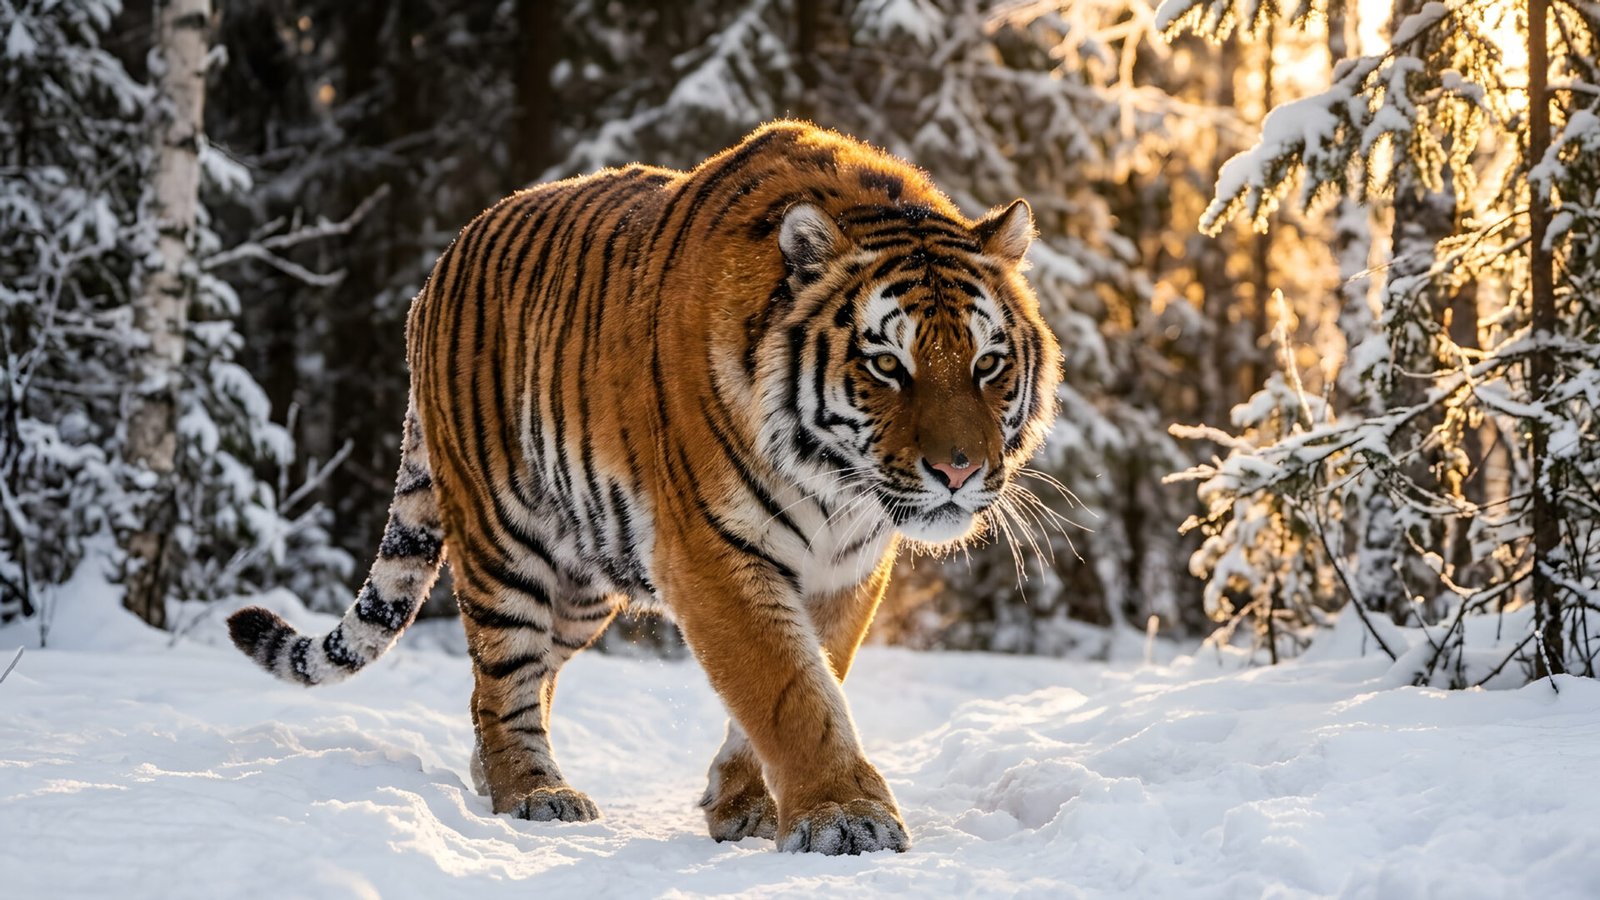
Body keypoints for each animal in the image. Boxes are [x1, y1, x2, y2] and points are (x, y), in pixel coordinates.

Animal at [227, 121, 1061, 856]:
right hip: (504, 543)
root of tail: (433, 276)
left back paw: (494, 777)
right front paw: (843, 817)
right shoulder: (712, 551)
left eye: (987, 363)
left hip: (582, 584)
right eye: (888, 365)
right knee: (503, 680)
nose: (958, 471)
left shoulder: (847, 568)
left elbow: (807, 676)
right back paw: (531, 792)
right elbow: (788, 689)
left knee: (519, 681)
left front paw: (743, 803)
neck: (836, 486)